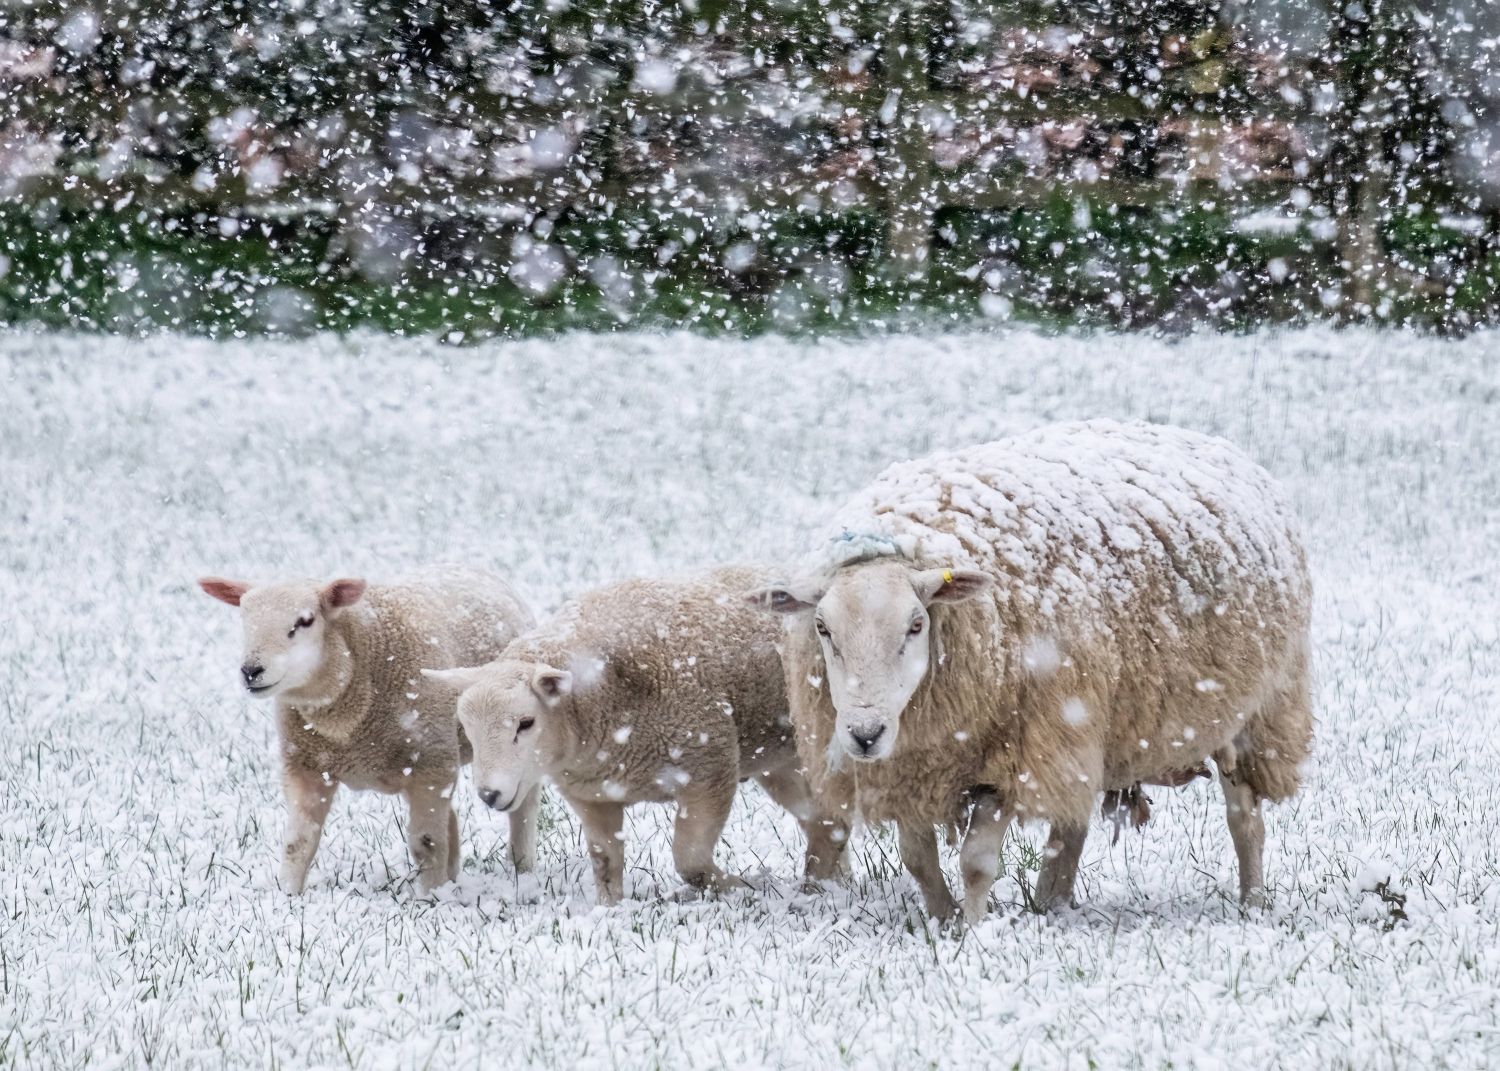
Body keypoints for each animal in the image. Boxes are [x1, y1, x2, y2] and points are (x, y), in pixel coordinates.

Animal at [199, 564, 537, 888]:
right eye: (244, 618)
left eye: (305, 621)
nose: (251, 670)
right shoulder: (305, 766)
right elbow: (298, 843)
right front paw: (287, 894)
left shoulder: (431, 764)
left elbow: (426, 843)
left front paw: (431, 897)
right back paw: (453, 876)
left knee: (522, 807)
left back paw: (521, 869)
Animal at [750, 417, 1314, 918]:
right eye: (822, 627)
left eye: (915, 625)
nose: (865, 734)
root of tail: (1206, 439)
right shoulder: (910, 767)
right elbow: (918, 860)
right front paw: (942, 921)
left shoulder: (1012, 751)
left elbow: (976, 862)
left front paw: (973, 933)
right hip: (1084, 721)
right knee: (1072, 819)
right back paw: (1052, 901)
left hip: (1256, 710)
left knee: (1245, 819)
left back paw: (1252, 902)